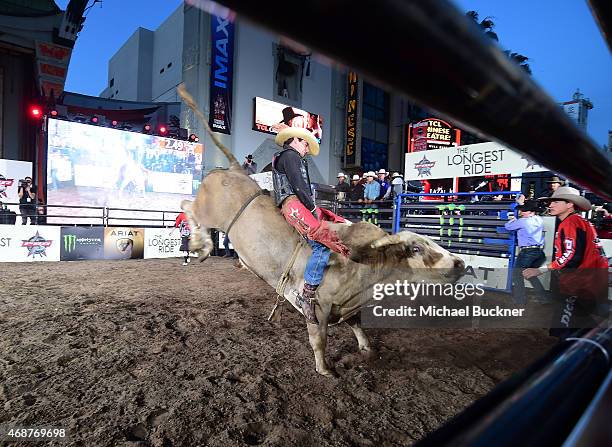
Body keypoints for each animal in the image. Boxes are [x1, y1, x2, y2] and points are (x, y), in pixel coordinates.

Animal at [177, 85, 464, 378]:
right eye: (416, 248)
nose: (459, 263)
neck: (366, 267)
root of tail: (236, 170)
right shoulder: (319, 308)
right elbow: (319, 338)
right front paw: (325, 369)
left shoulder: (347, 307)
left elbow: (357, 324)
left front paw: (367, 350)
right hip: (208, 211)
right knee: (187, 205)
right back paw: (201, 246)